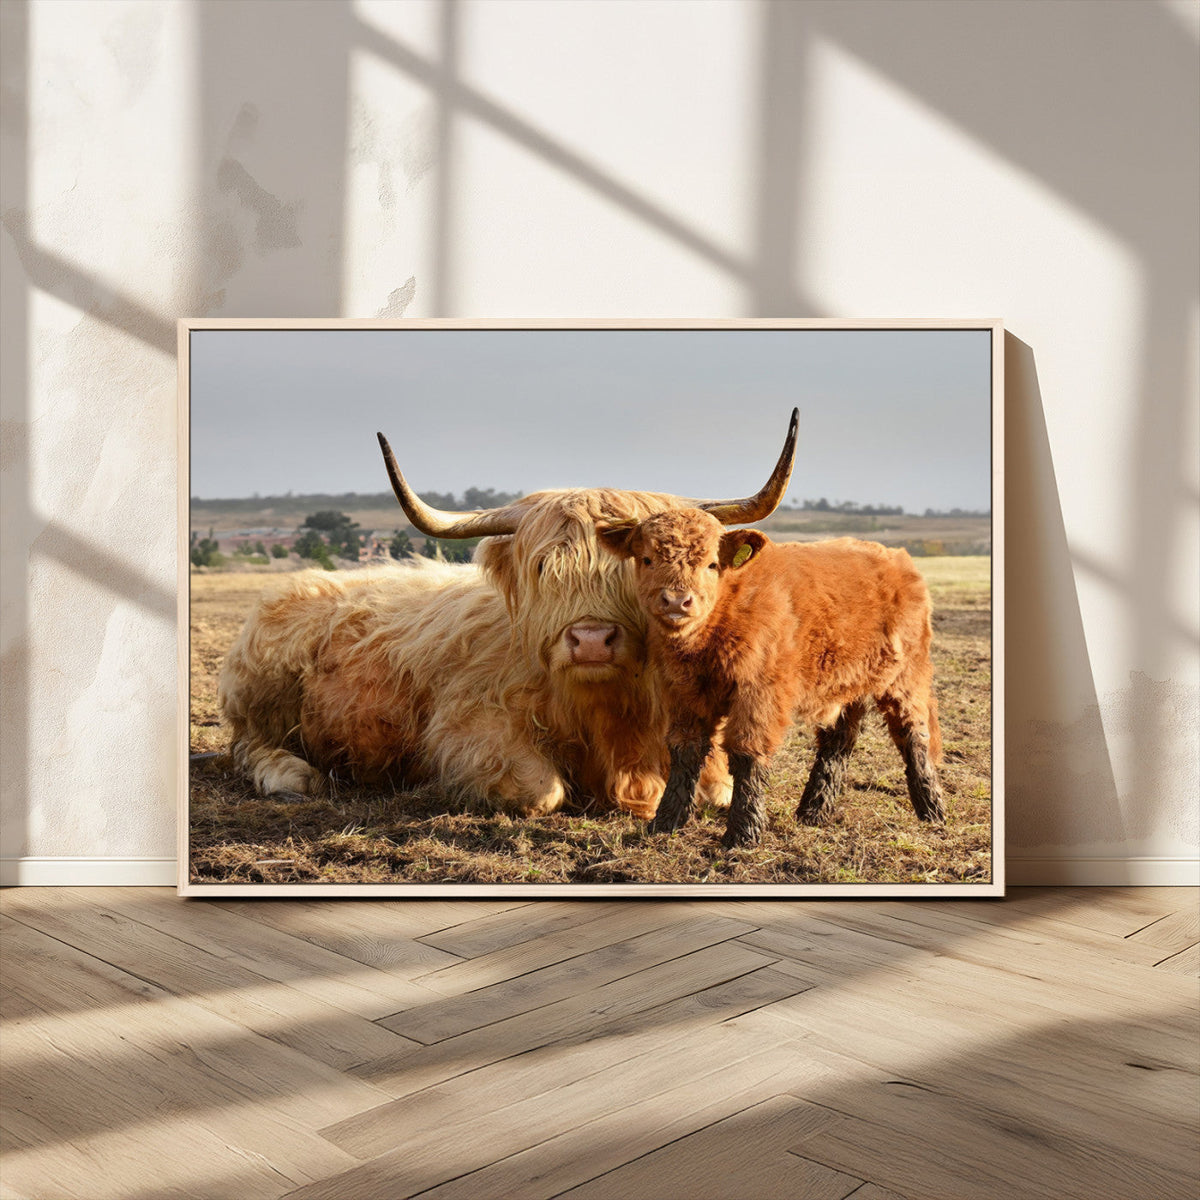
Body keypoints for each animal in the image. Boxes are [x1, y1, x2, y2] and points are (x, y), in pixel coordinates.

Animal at [215, 411, 799, 820]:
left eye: (639, 563)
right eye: (543, 567)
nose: (591, 640)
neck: (610, 711)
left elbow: (718, 787)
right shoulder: (467, 729)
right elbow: (541, 790)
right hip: (264, 692)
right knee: (247, 745)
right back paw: (292, 776)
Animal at [597, 507, 944, 846]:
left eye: (711, 563)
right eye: (647, 559)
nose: (676, 601)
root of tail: (897, 558)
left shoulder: (759, 692)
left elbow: (746, 753)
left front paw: (743, 832)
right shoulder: (684, 692)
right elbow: (685, 750)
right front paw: (665, 823)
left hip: (905, 677)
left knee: (913, 734)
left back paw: (932, 810)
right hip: (845, 684)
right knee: (838, 742)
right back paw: (813, 811)